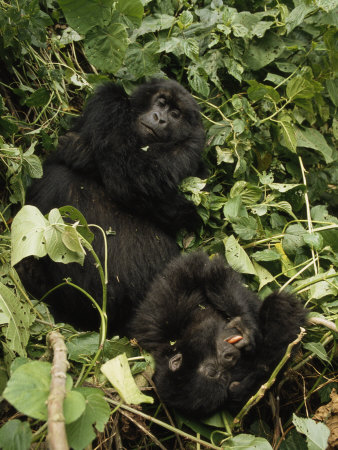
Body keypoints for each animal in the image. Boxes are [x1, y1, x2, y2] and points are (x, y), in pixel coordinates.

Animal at [21, 78, 206, 334]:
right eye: (161, 102)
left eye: (176, 114)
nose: (160, 118)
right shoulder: (108, 98)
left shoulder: (193, 145)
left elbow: (143, 181)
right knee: (59, 177)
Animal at [129, 253, 306, 418]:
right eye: (220, 376)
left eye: (212, 371)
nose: (229, 357)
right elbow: (243, 394)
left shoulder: (160, 320)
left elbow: (202, 271)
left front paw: (246, 324)